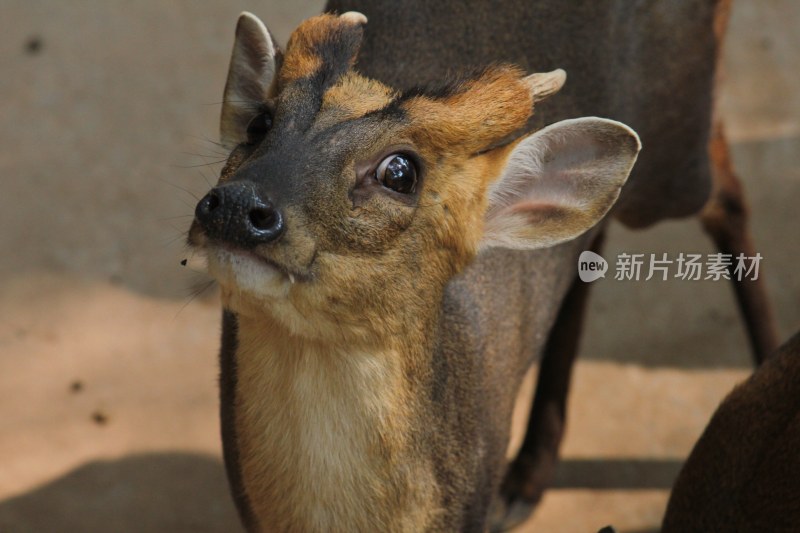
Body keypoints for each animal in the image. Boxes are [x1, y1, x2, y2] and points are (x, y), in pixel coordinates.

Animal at [188, 2, 776, 528]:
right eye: (259, 124)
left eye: (399, 172)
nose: (238, 206)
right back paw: (528, 476)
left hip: (677, 151)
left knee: (725, 190)